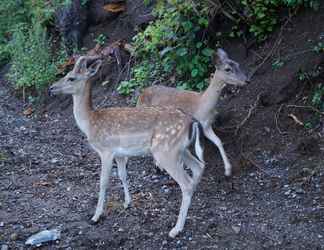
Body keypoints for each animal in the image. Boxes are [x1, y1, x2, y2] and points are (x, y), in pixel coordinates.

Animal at [48, 55, 205, 237]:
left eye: (71, 78)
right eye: (66, 74)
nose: (51, 88)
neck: (90, 123)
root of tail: (192, 121)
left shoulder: (106, 150)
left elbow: (103, 181)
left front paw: (96, 216)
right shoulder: (120, 154)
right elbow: (123, 175)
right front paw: (127, 203)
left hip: (165, 151)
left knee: (186, 182)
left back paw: (176, 229)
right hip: (182, 149)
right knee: (199, 166)